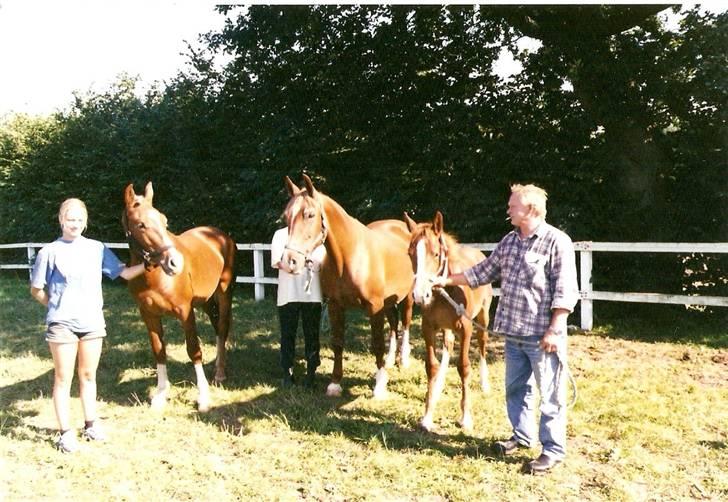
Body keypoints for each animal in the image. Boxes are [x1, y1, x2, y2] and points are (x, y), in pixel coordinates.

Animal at [123, 182, 236, 410]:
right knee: (217, 326)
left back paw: (220, 373)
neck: (155, 278)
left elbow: (194, 349)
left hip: (224, 293)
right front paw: (160, 395)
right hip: (206, 301)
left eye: (164, 220)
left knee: (222, 328)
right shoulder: (148, 315)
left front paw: (203, 397)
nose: (175, 263)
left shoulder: (185, 312)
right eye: (141, 224)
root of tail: (220, 234)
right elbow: (159, 350)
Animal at [280, 175, 412, 398]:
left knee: (405, 323)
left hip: (409, 297)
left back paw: (402, 360)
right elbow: (338, 343)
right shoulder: (336, 306)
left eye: (310, 215)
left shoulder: (374, 307)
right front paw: (335, 383)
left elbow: (377, 343)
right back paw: (390, 360)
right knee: (394, 323)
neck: (350, 256)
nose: (290, 261)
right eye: (286, 217)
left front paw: (379, 386)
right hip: (389, 301)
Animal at [404, 211, 494, 432]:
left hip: (483, 317)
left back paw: (484, 384)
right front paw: (427, 417)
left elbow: (464, 367)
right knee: (448, 344)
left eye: (436, 254)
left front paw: (466, 418)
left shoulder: (466, 328)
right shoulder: (428, 328)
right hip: (446, 327)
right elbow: (431, 366)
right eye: (410, 253)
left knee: (482, 343)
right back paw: (439, 386)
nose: (420, 295)